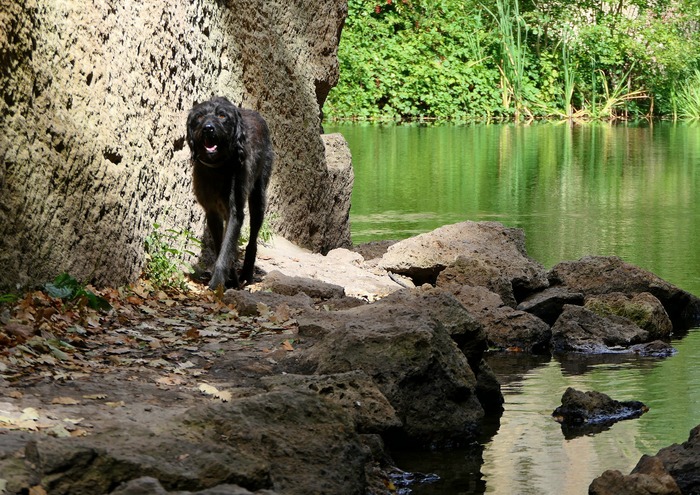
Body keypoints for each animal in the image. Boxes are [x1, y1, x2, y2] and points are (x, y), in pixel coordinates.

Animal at [186, 96, 274, 290]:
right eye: (200, 116)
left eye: (221, 115)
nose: (208, 128)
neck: (218, 169)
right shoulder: (212, 212)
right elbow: (222, 247)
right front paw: (229, 278)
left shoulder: (235, 212)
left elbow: (226, 251)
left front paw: (217, 282)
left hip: (258, 200)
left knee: (253, 239)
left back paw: (247, 273)